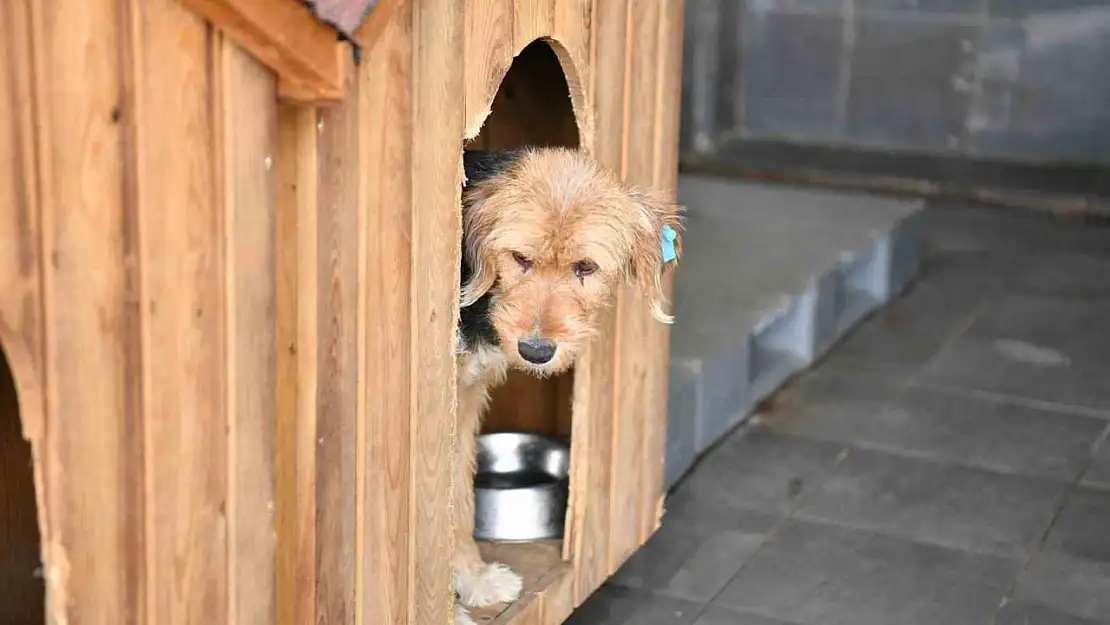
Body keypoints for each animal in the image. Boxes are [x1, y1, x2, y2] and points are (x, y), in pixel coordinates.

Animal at [452, 147, 679, 625]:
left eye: (585, 267)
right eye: (519, 258)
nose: (536, 350)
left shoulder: (462, 403)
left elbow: (457, 502)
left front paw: (474, 580)